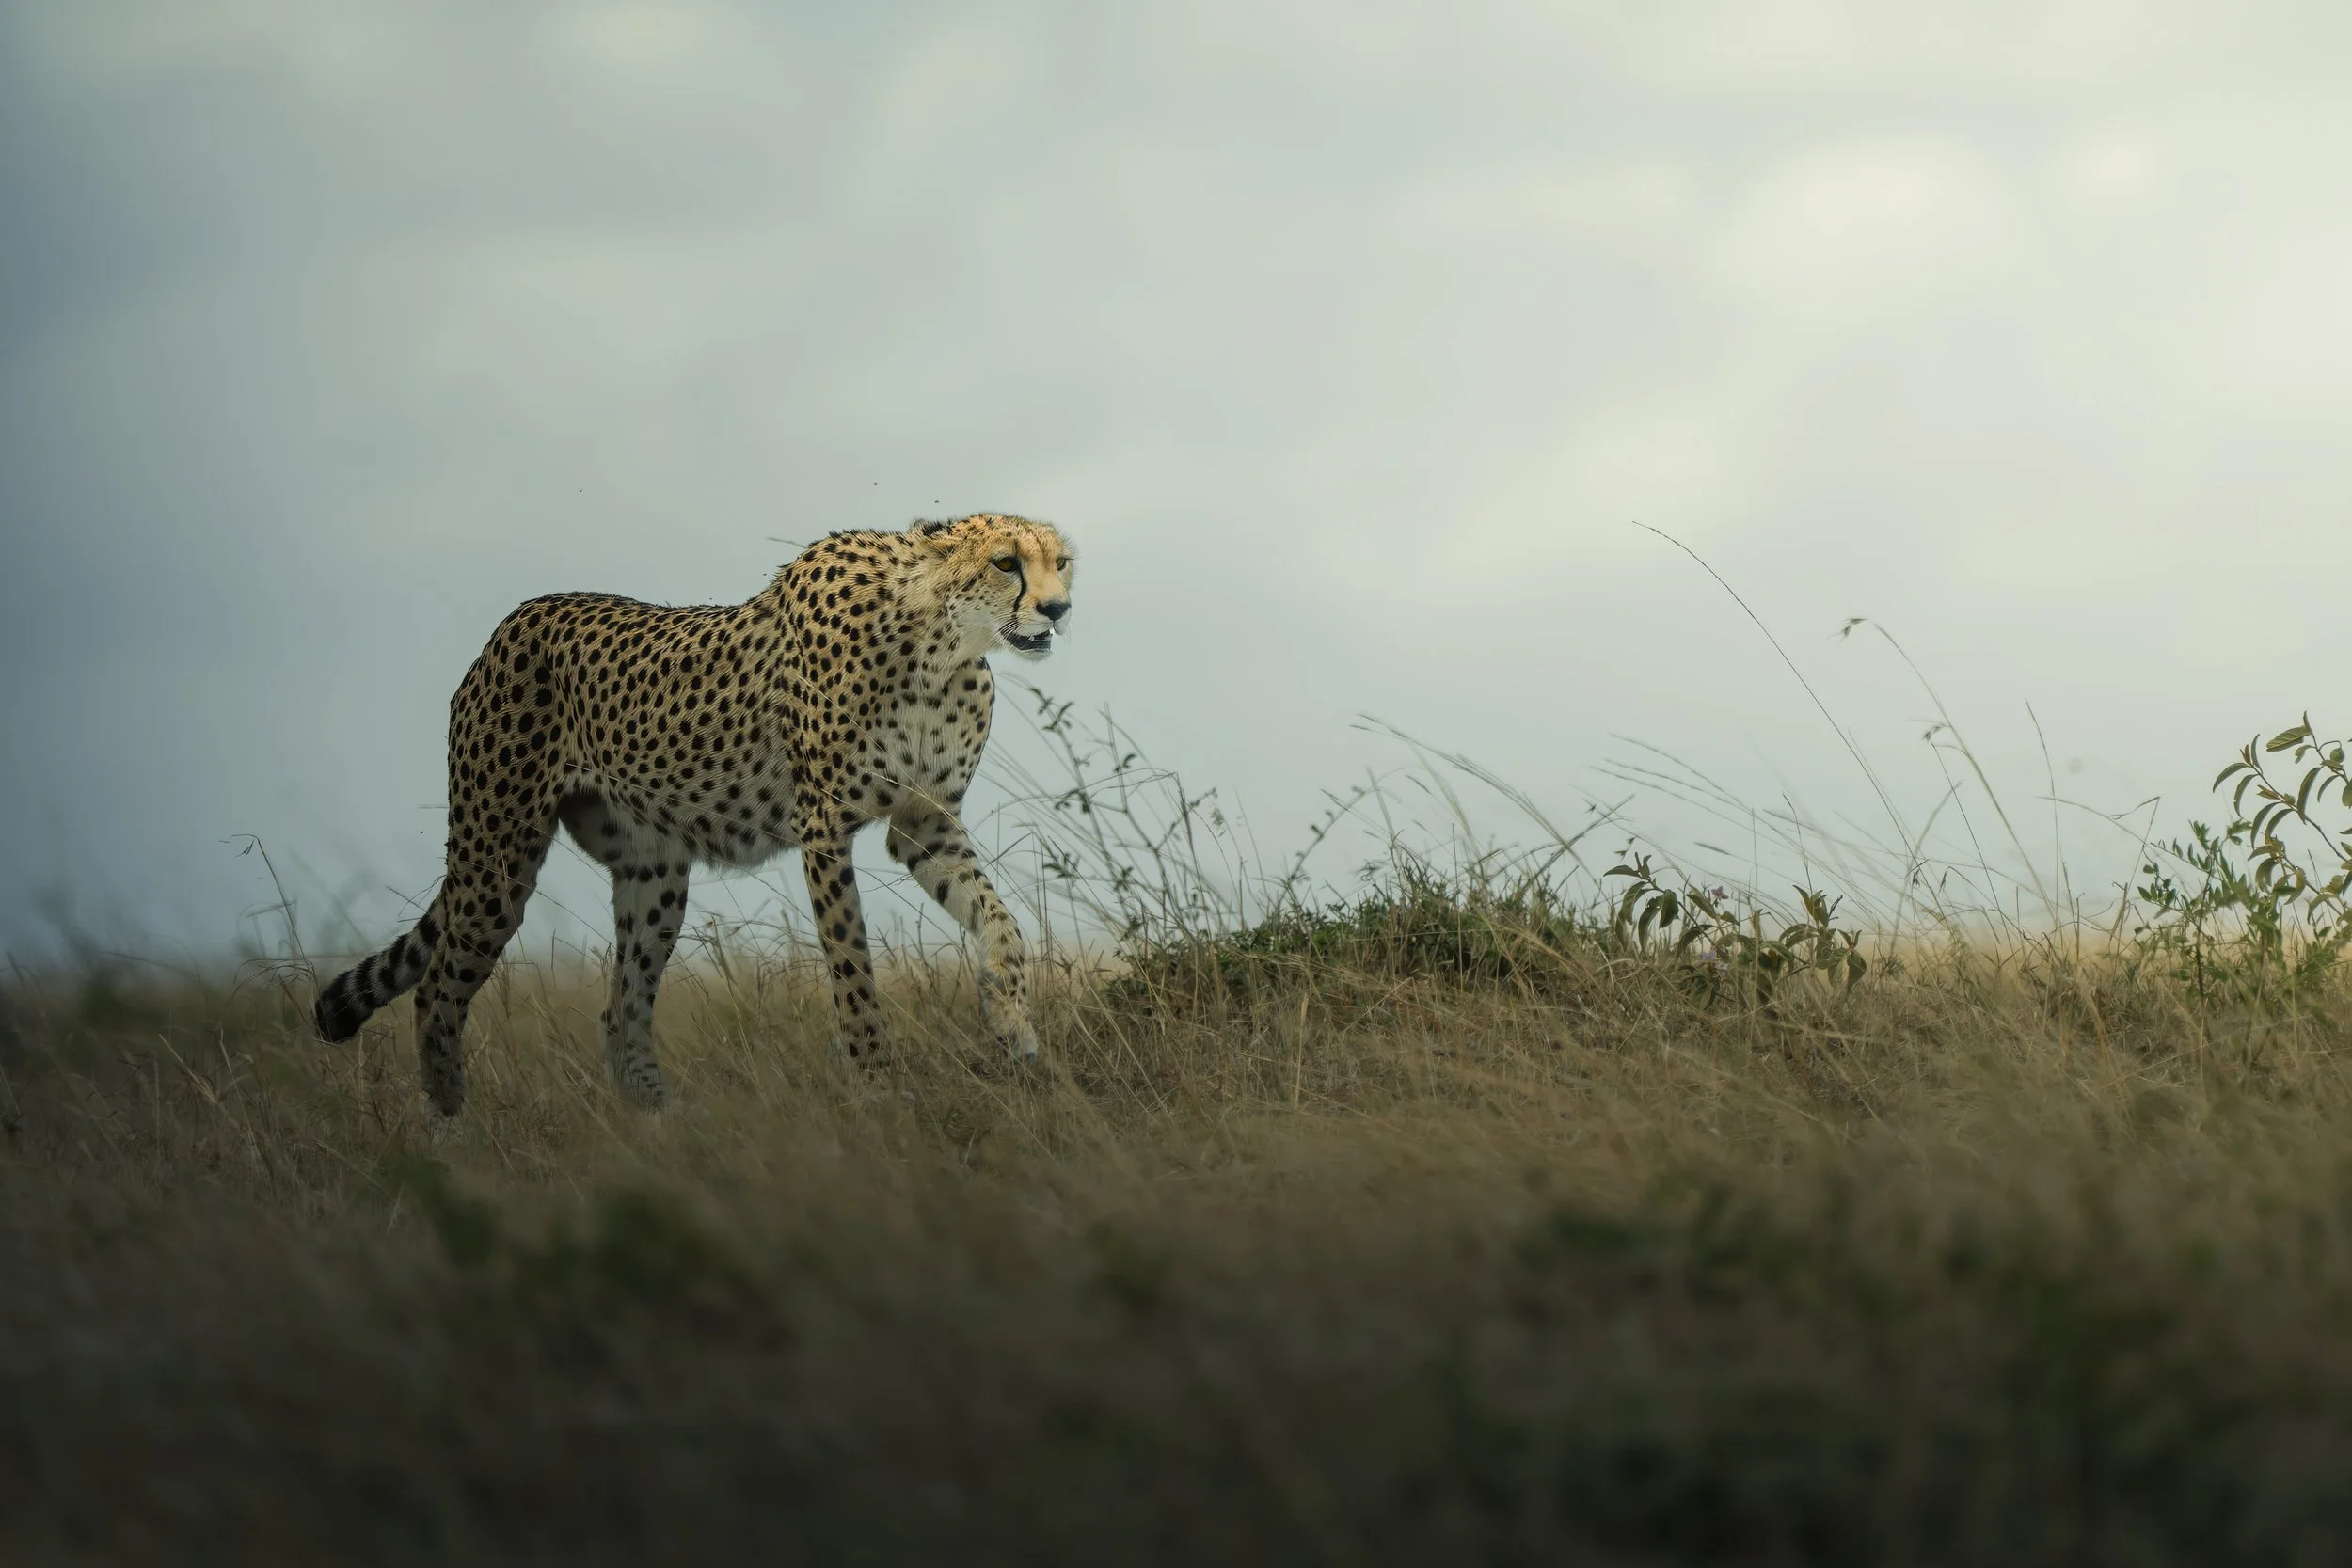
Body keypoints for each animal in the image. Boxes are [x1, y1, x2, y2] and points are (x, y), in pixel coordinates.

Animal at [311, 512, 1075, 1116]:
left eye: (1060, 562)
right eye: (1005, 562)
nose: (1059, 609)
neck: (939, 645)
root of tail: (510, 623)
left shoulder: (923, 821)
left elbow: (1001, 922)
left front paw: (1013, 1022)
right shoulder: (825, 830)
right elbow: (853, 967)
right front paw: (877, 1086)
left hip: (653, 877)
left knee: (620, 1009)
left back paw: (664, 1127)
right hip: (498, 855)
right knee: (436, 990)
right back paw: (450, 1129)